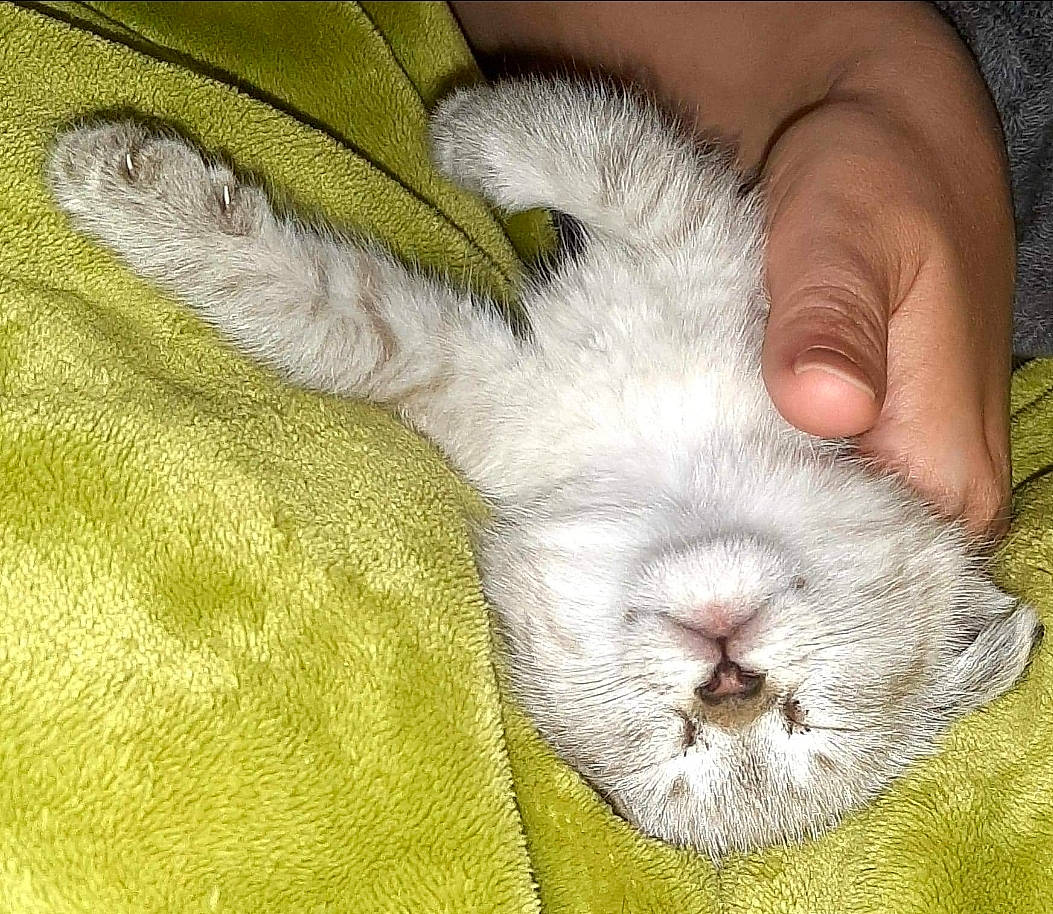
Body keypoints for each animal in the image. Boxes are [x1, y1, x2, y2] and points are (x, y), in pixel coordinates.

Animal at [45, 77, 1042, 858]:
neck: (678, 472)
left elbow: (349, 315)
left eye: (800, 725)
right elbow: (592, 161)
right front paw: (465, 131)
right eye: (684, 738)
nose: (729, 685)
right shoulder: (664, 281)